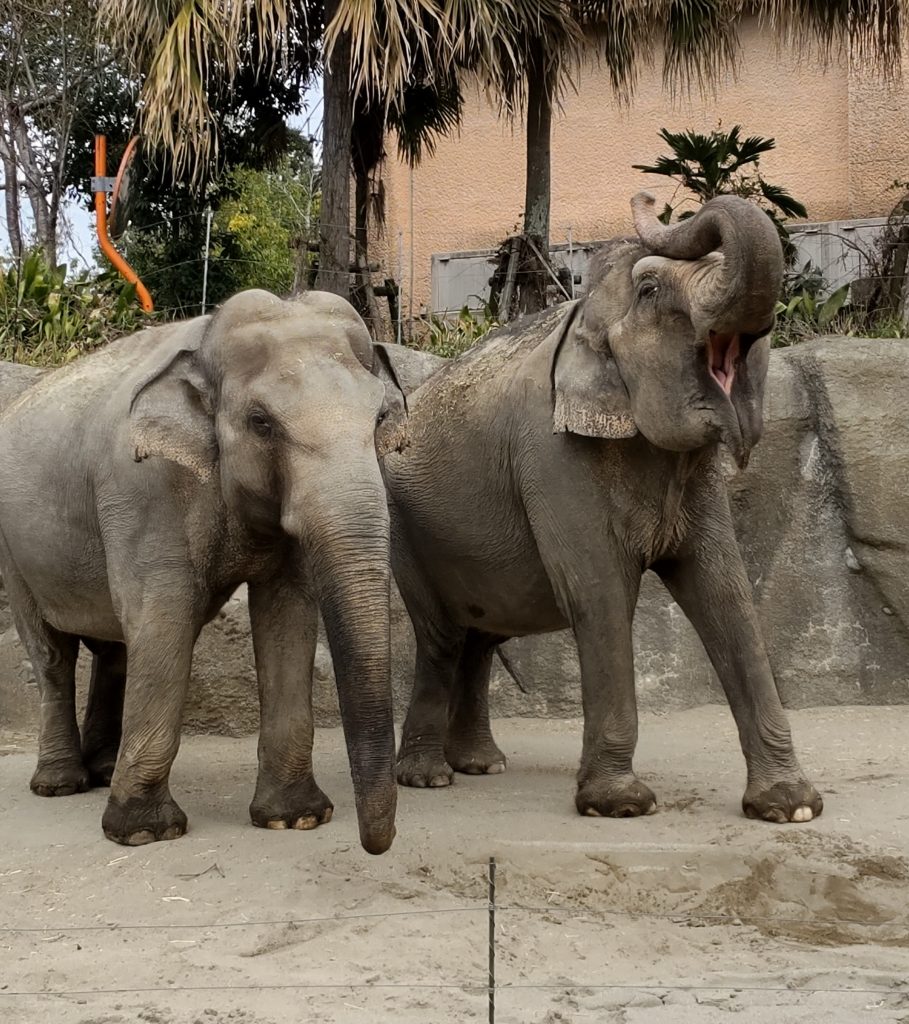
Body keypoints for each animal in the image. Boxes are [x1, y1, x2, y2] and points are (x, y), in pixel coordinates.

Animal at [0, 290, 401, 856]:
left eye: (381, 417)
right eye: (261, 422)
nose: (375, 845)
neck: (206, 338)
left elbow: (287, 617)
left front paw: (296, 819)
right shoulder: (145, 487)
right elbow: (164, 619)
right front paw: (144, 831)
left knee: (115, 649)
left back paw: (102, 770)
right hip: (13, 552)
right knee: (53, 654)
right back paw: (60, 784)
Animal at [376, 192, 823, 827]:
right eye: (650, 290)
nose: (649, 197)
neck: (588, 311)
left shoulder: (694, 476)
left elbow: (725, 592)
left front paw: (790, 807)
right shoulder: (551, 454)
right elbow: (599, 593)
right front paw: (621, 804)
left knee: (480, 636)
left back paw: (483, 765)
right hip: (406, 531)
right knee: (442, 637)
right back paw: (428, 778)